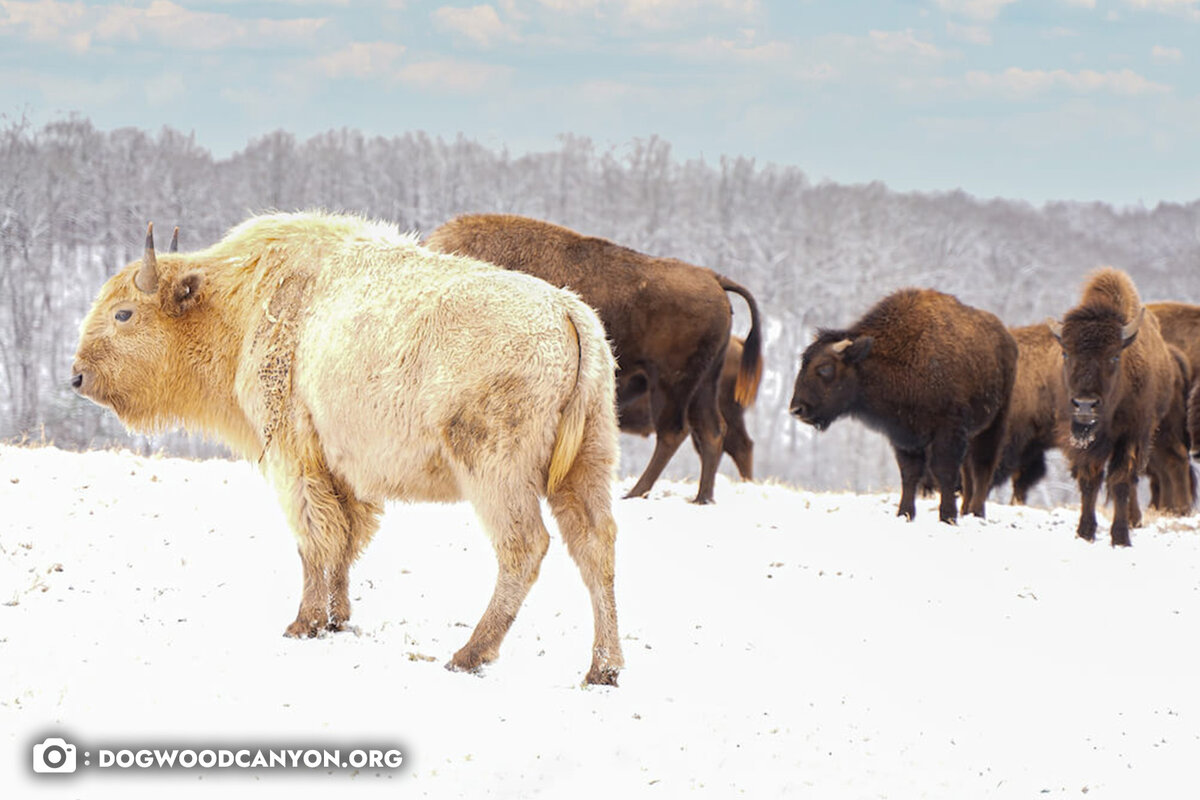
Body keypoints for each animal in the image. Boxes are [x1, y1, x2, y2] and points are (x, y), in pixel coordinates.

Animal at [72, 212, 628, 690]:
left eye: (124, 313)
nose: (76, 376)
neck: (242, 301)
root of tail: (569, 312)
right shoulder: (342, 471)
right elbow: (345, 537)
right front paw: (338, 619)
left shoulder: (294, 460)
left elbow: (316, 539)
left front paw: (304, 623)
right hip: (586, 466)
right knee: (595, 547)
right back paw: (603, 669)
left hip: (495, 474)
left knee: (524, 548)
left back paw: (469, 655)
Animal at [792, 287, 1017, 525]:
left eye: (825, 368)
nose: (797, 409)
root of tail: (1007, 338)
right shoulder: (904, 435)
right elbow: (909, 473)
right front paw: (905, 513)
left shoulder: (948, 431)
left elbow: (944, 471)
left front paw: (947, 517)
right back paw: (966, 511)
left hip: (995, 423)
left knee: (984, 467)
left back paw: (976, 512)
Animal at [1051, 268, 1171, 551]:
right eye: (1065, 353)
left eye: (1115, 356)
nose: (1085, 404)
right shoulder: (1079, 439)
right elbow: (1089, 480)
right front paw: (1085, 532)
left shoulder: (1130, 436)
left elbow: (1120, 481)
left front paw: (1121, 537)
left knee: (1134, 478)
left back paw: (1134, 519)